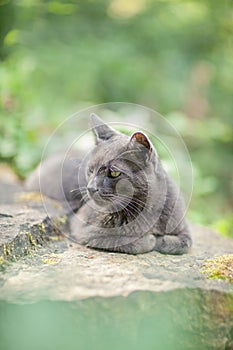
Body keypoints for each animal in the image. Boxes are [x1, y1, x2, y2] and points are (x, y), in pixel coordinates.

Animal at [26, 115, 192, 254]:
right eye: (90, 170)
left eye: (114, 173)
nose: (91, 188)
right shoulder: (81, 226)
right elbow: (119, 239)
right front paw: (150, 239)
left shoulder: (182, 225)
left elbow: (185, 243)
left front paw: (160, 239)